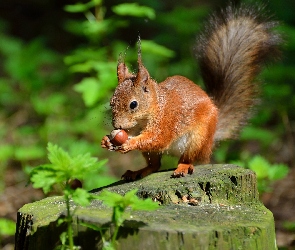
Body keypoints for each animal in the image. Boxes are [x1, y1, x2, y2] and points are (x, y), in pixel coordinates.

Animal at [101, 4, 282, 181]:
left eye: (133, 104)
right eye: (111, 102)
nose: (117, 126)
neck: (154, 108)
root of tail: (211, 140)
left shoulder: (167, 121)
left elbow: (156, 138)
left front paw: (129, 143)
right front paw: (106, 141)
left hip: (198, 138)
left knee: (188, 158)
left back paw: (183, 167)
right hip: (155, 153)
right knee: (155, 166)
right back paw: (138, 171)